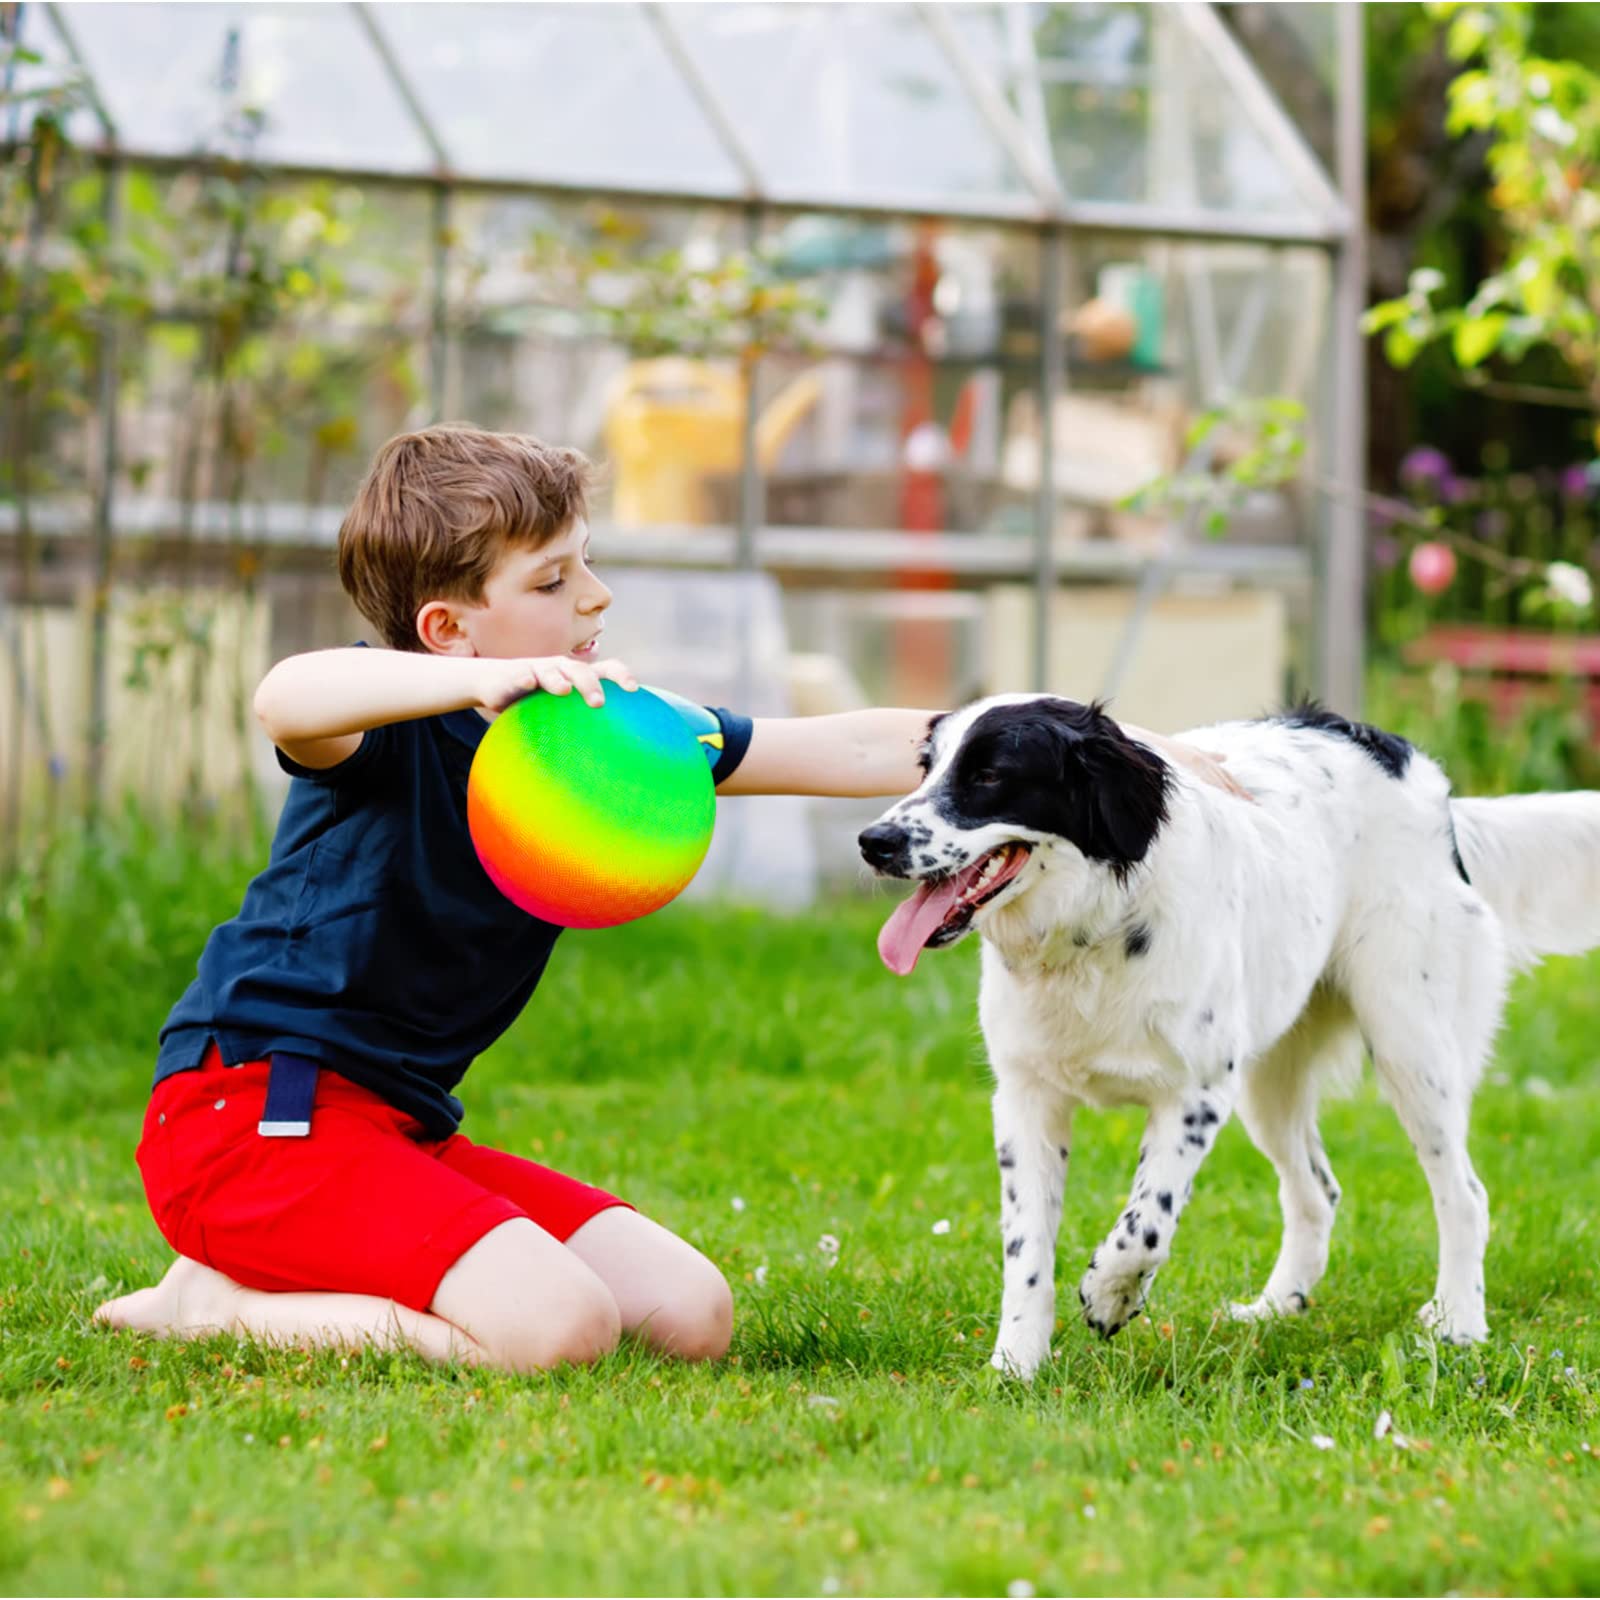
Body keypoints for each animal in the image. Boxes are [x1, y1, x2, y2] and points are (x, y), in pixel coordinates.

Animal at [864, 694, 1600, 1382]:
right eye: (926, 767)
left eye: (990, 775)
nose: (874, 841)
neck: (1092, 933)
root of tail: (1424, 779)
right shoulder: (1026, 1098)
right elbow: (1027, 1249)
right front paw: (1016, 1363)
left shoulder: (1195, 1094)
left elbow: (1146, 1225)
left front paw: (1109, 1296)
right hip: (1271, 1080)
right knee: (1317, 1193)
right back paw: (1277, 1308)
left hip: (1411, 1044)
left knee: (1464, 1195)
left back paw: (1458, 1323)